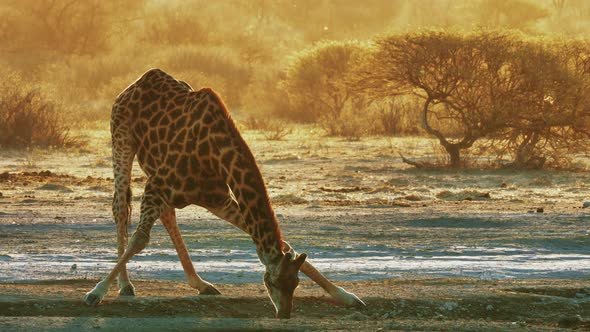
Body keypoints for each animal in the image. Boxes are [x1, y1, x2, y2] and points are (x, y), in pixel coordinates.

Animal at [84, 68, 366, 320]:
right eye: (271, 281)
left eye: (294, 284)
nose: (284, 314)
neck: (215, 155)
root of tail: (137, 82)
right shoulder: (156, 184)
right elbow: (140, 239)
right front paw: (96, 293)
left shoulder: (217, 199)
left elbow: (285, 244)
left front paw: (348, 297)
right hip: (121, 138)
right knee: (121, 208)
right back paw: (125, 285)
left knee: (166, 214)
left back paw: (200, 283)